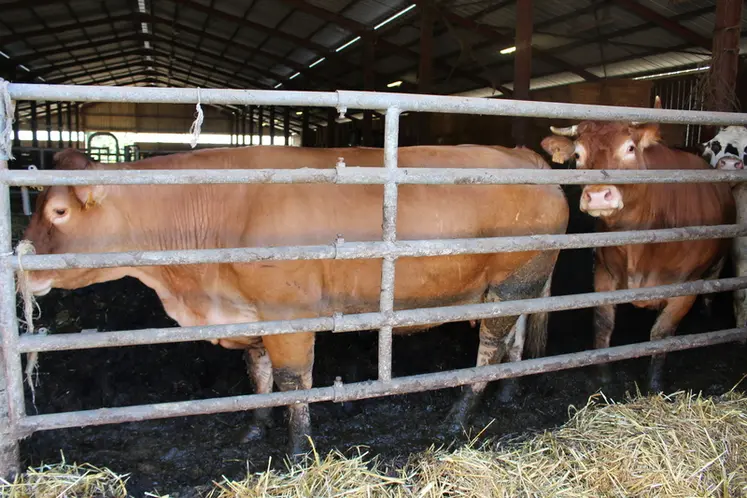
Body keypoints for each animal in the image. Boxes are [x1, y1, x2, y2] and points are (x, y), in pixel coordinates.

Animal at [20, 145, 569, 456]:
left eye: (60, 210)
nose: (22, 265)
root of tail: (523, 155)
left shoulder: (290, 316)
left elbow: (292, 381)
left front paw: (300, 450)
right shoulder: (251, 313)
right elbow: (258, 374)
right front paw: (256, 427)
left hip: (508, 285)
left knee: (489, 349)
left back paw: (459, 415)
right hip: (520, 284)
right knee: (516, 339)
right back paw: (507, 393)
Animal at [541, 120, 735, 393]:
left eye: (630, 148)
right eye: (577, 155)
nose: (598, 196)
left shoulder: (686, 289)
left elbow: (661, 334)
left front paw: (654, 384)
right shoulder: (604, 273)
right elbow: (603, 323)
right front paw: (602, 376)